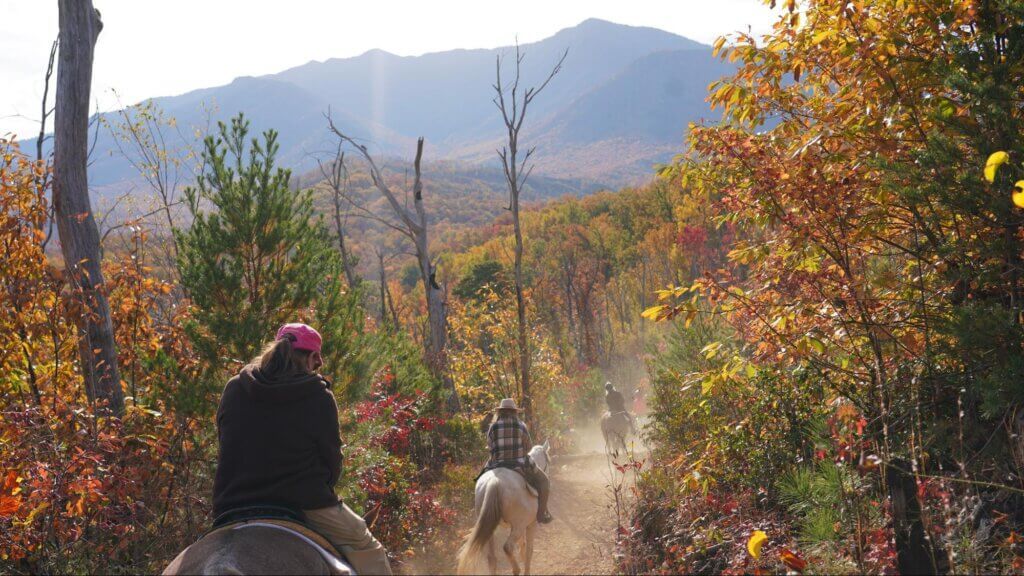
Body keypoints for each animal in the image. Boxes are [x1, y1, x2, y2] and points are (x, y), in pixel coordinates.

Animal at [458, 438, 552, 569]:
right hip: (518, 526)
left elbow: (523, 545)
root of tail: (495, 481)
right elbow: (529, 551)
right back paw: (516, 569)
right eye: (548, 462)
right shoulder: (530, 524)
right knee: (507, 547)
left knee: (492, 558)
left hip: (490, 528)